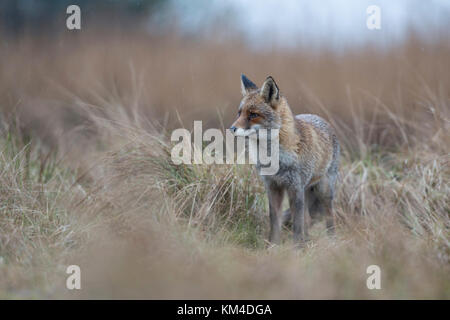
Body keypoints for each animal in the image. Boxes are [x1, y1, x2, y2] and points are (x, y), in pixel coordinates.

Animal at [230, 74, 340, 245]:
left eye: (253, 114)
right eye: (239, 113)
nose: (232, 129)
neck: (275, 159)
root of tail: (319, 117)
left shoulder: (295, 187)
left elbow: (297, 225)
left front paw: (297, 248)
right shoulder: (273, 186)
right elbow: (275, 221)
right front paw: (273, 246)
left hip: (324, 190)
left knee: (329, 216)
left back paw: (331, 242)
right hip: (306, 191)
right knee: (307, 220)